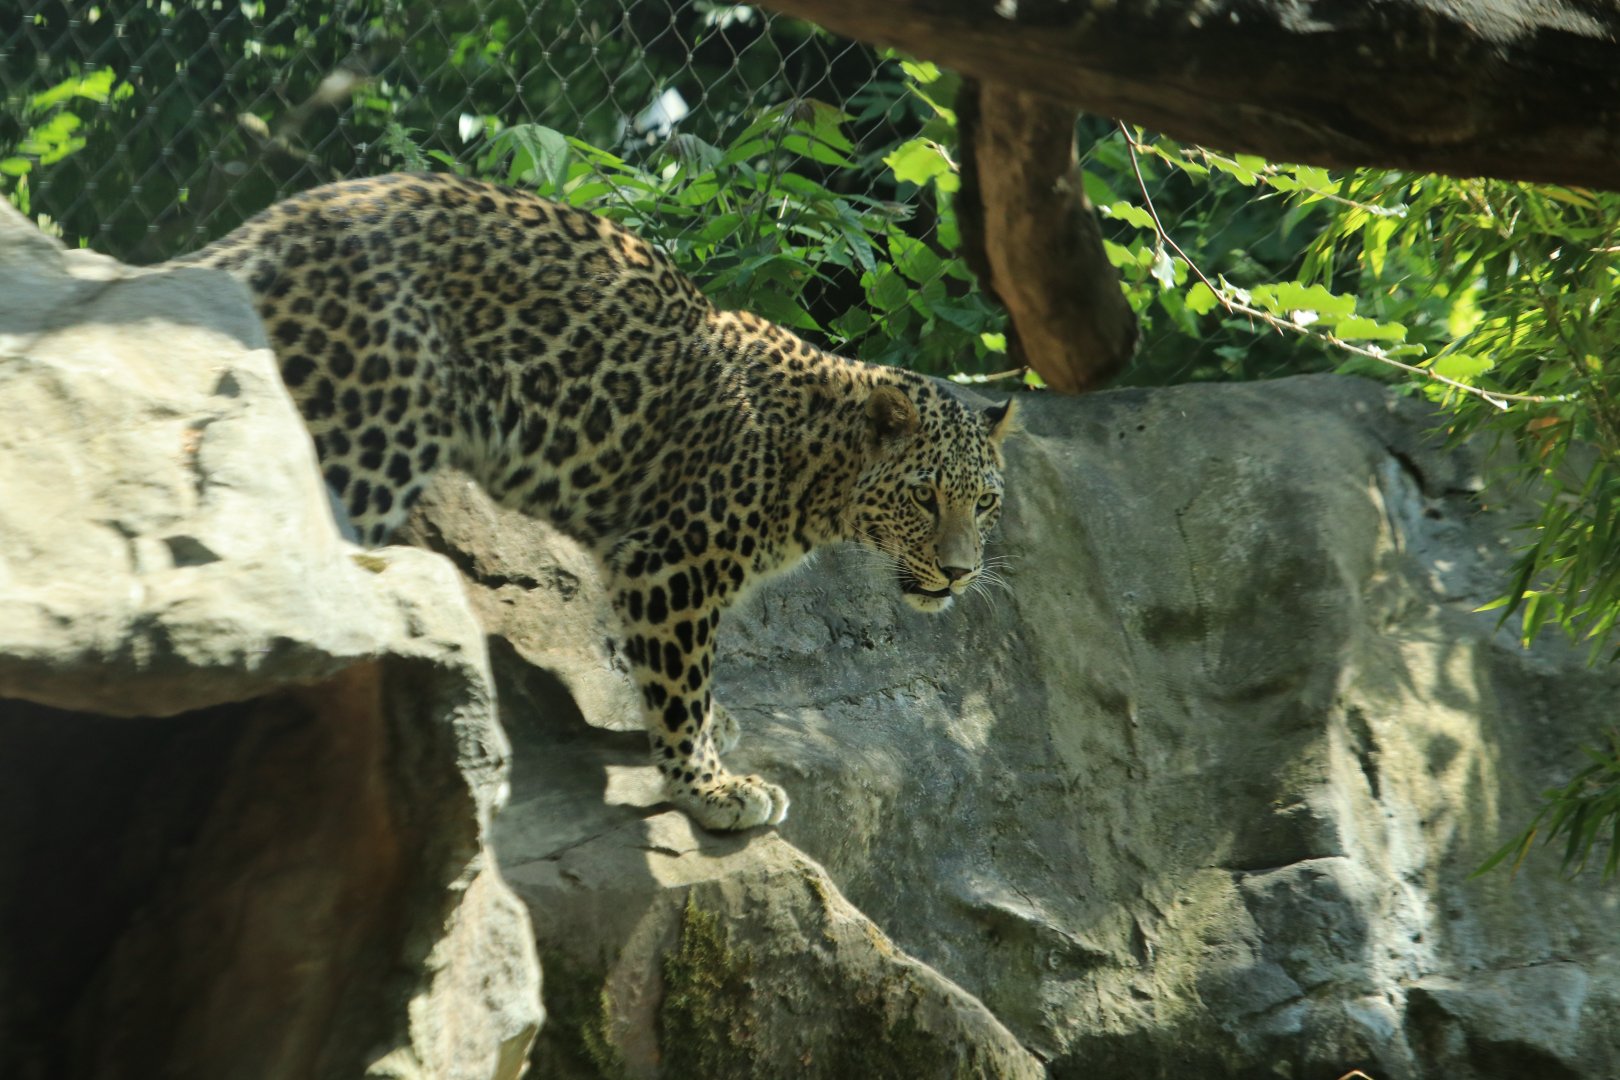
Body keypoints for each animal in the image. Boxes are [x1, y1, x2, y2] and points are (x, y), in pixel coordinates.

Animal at [177, 171, 1015, 832]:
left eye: (984, 504)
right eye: (923, 497)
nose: (961, 573)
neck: (821, 467)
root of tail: (263, 232)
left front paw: (714, 738)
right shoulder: (672, 563)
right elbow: (680, 684)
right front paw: (711, 790)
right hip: (372, 436)